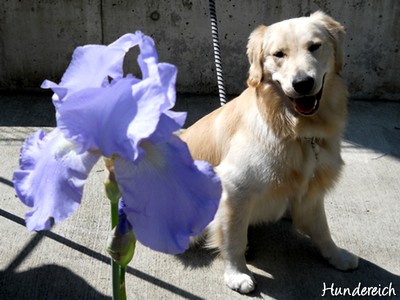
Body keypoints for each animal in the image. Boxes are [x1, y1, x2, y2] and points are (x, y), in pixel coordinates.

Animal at [180, 11, 358, 292]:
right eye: (279, 54)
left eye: (314, 46)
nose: (303, 83)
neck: (297, 130)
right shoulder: (234, 187)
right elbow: (234, 238)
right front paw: (237, 273)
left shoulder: (312, 189)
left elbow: (322, 228)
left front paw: (336, 255)